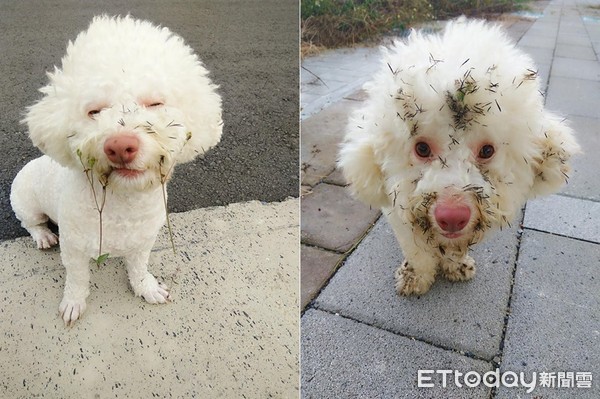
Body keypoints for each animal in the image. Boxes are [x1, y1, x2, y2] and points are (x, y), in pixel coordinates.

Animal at [11, 16, 223, 328]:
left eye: (155, 103)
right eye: (94, 111)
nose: (121, 146)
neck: (124, 202)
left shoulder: (143, 241)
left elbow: (138, 268)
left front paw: (147, 287)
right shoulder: (73, 248)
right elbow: (77, 280)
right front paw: (73, 304)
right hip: (25, 201)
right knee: (31, 222)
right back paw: (43, 236)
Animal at [338, 20, 576, 298]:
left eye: (487, 151)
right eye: (421, 148)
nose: (452, 217)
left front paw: (456, 266)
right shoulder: (400, 215)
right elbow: (417, 252)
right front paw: (416, 277)